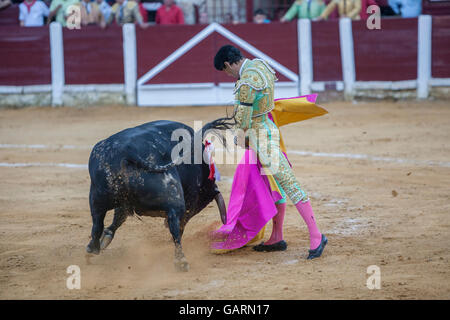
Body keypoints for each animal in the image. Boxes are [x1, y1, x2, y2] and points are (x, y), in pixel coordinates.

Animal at [85, 119, 234, 272]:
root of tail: (127, 152)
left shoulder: (125, 203)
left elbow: (119, 217)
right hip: (174, 198)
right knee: (176, 226)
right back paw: (180, 260)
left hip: (96, 196)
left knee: (97, 223)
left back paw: (92, 248)